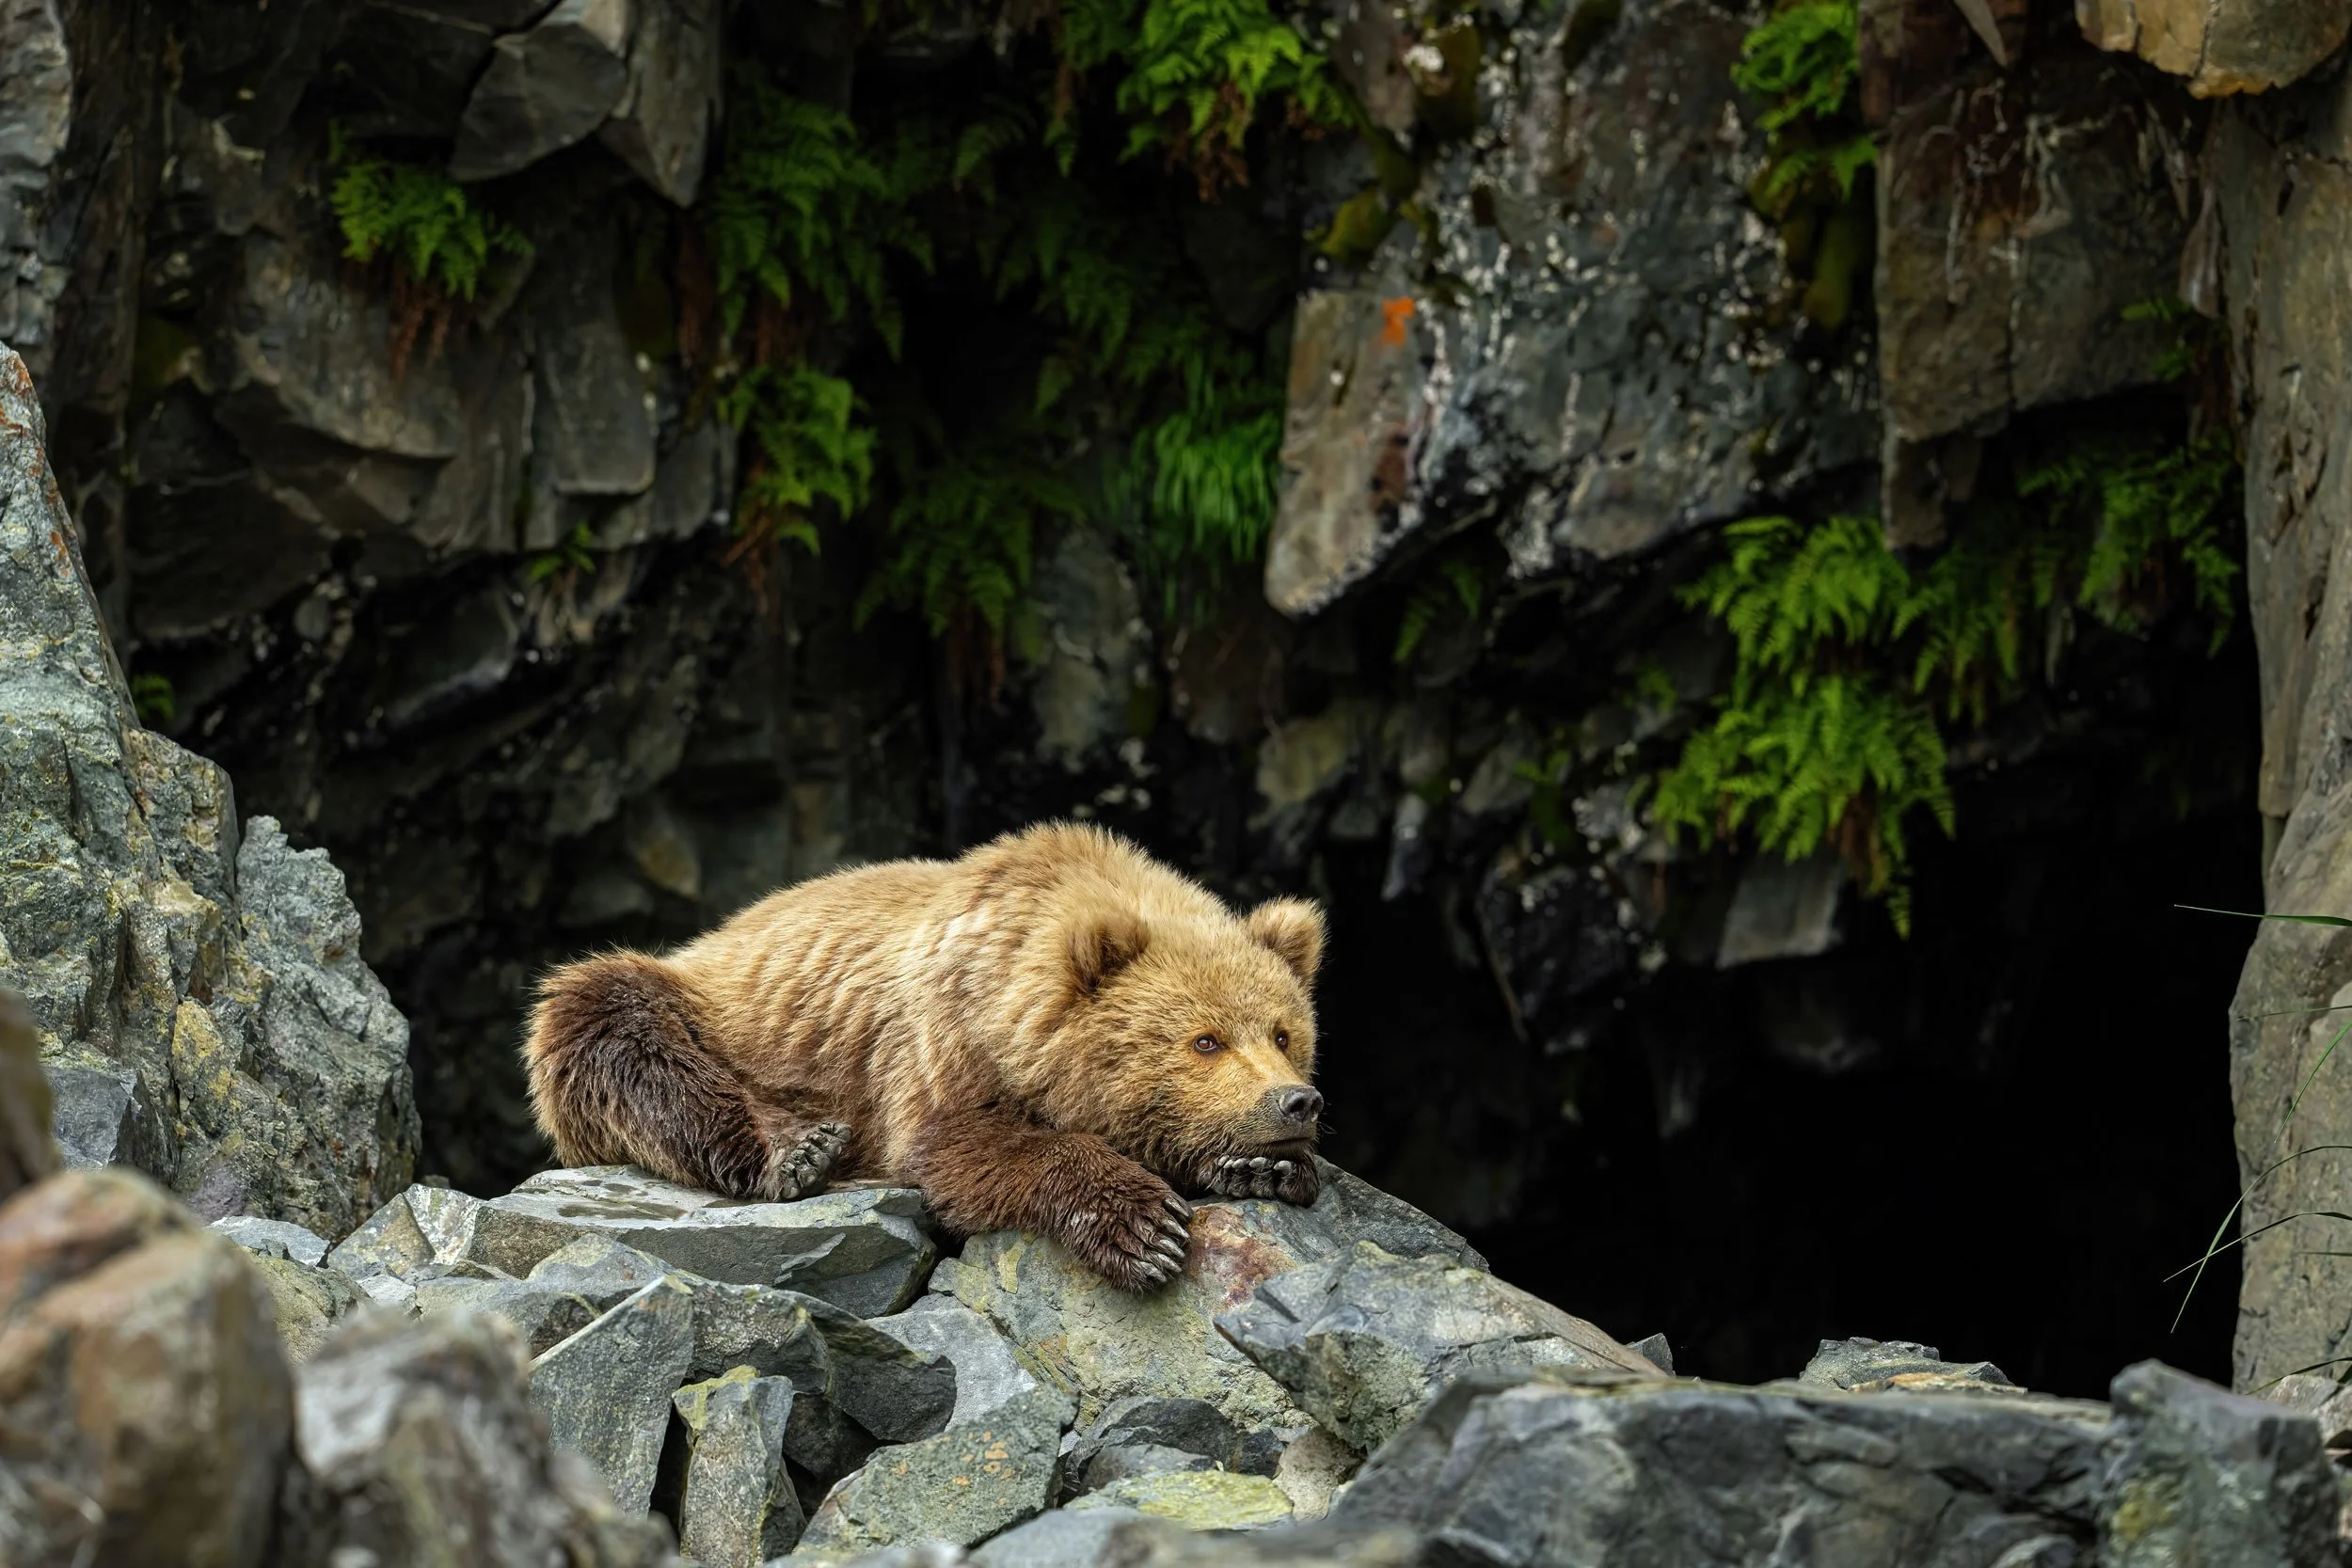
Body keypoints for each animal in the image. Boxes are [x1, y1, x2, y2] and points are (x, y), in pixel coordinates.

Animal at [522, 820, 1327, 1292]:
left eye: (1283, 1033)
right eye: (1206, 1039)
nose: (1295, 1101)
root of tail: (708, 936)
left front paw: (1262, 1166)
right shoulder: (942, 1035)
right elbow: (958, 1145)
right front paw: (1144, 1230)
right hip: (700, 1005)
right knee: (610, 1017)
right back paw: (798, 1151)